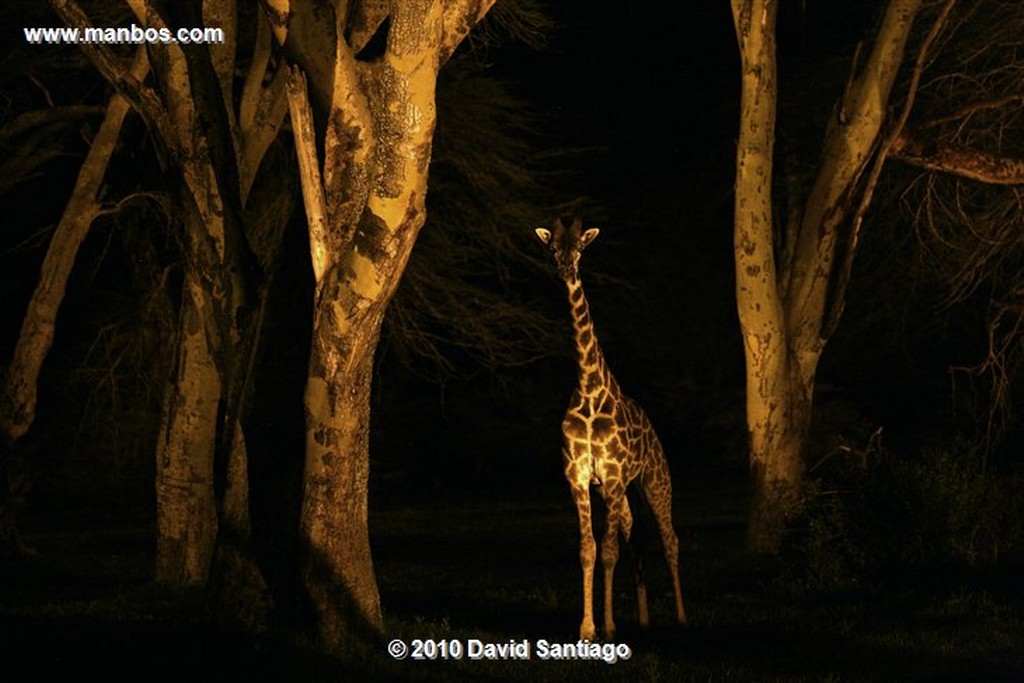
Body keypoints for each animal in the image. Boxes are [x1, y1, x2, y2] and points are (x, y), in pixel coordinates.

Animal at [536, 218, 688, 643]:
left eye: (581, 248)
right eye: (552, 248)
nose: (567, 271)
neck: (589, 388)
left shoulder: (614, 474)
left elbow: (607, 551)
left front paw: (606, 624)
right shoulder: (579, 476)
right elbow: (589, 548)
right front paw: (588, 627)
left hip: (655, 480)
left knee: (669, 539)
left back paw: (682, 618)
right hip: (617, 491)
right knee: (634, 536)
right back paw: (645, 620)